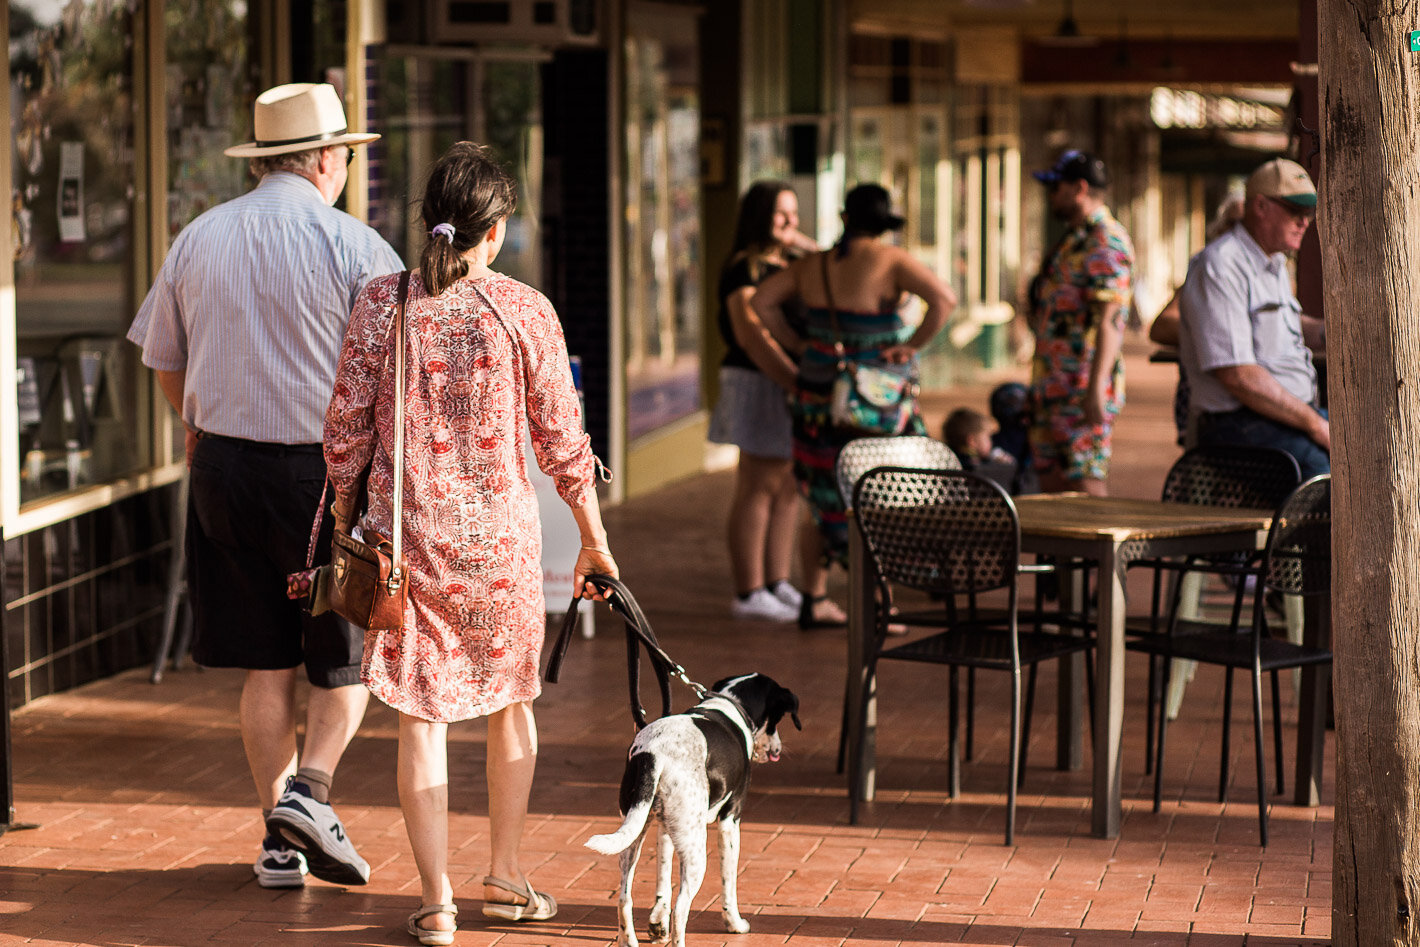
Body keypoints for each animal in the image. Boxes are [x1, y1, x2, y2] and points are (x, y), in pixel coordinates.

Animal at [579, 672, 800, 947]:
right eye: (777, 720)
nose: (778, 749)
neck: (729, 704)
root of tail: (654, 754)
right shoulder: (730, 821)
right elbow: (729, 882)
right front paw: (735, 924)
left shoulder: (664, 828)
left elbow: (663, 877)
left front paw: (657, 924)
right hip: (696, 851)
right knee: (681, 908)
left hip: (633, 837)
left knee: (624, 897)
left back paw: (628, 940)